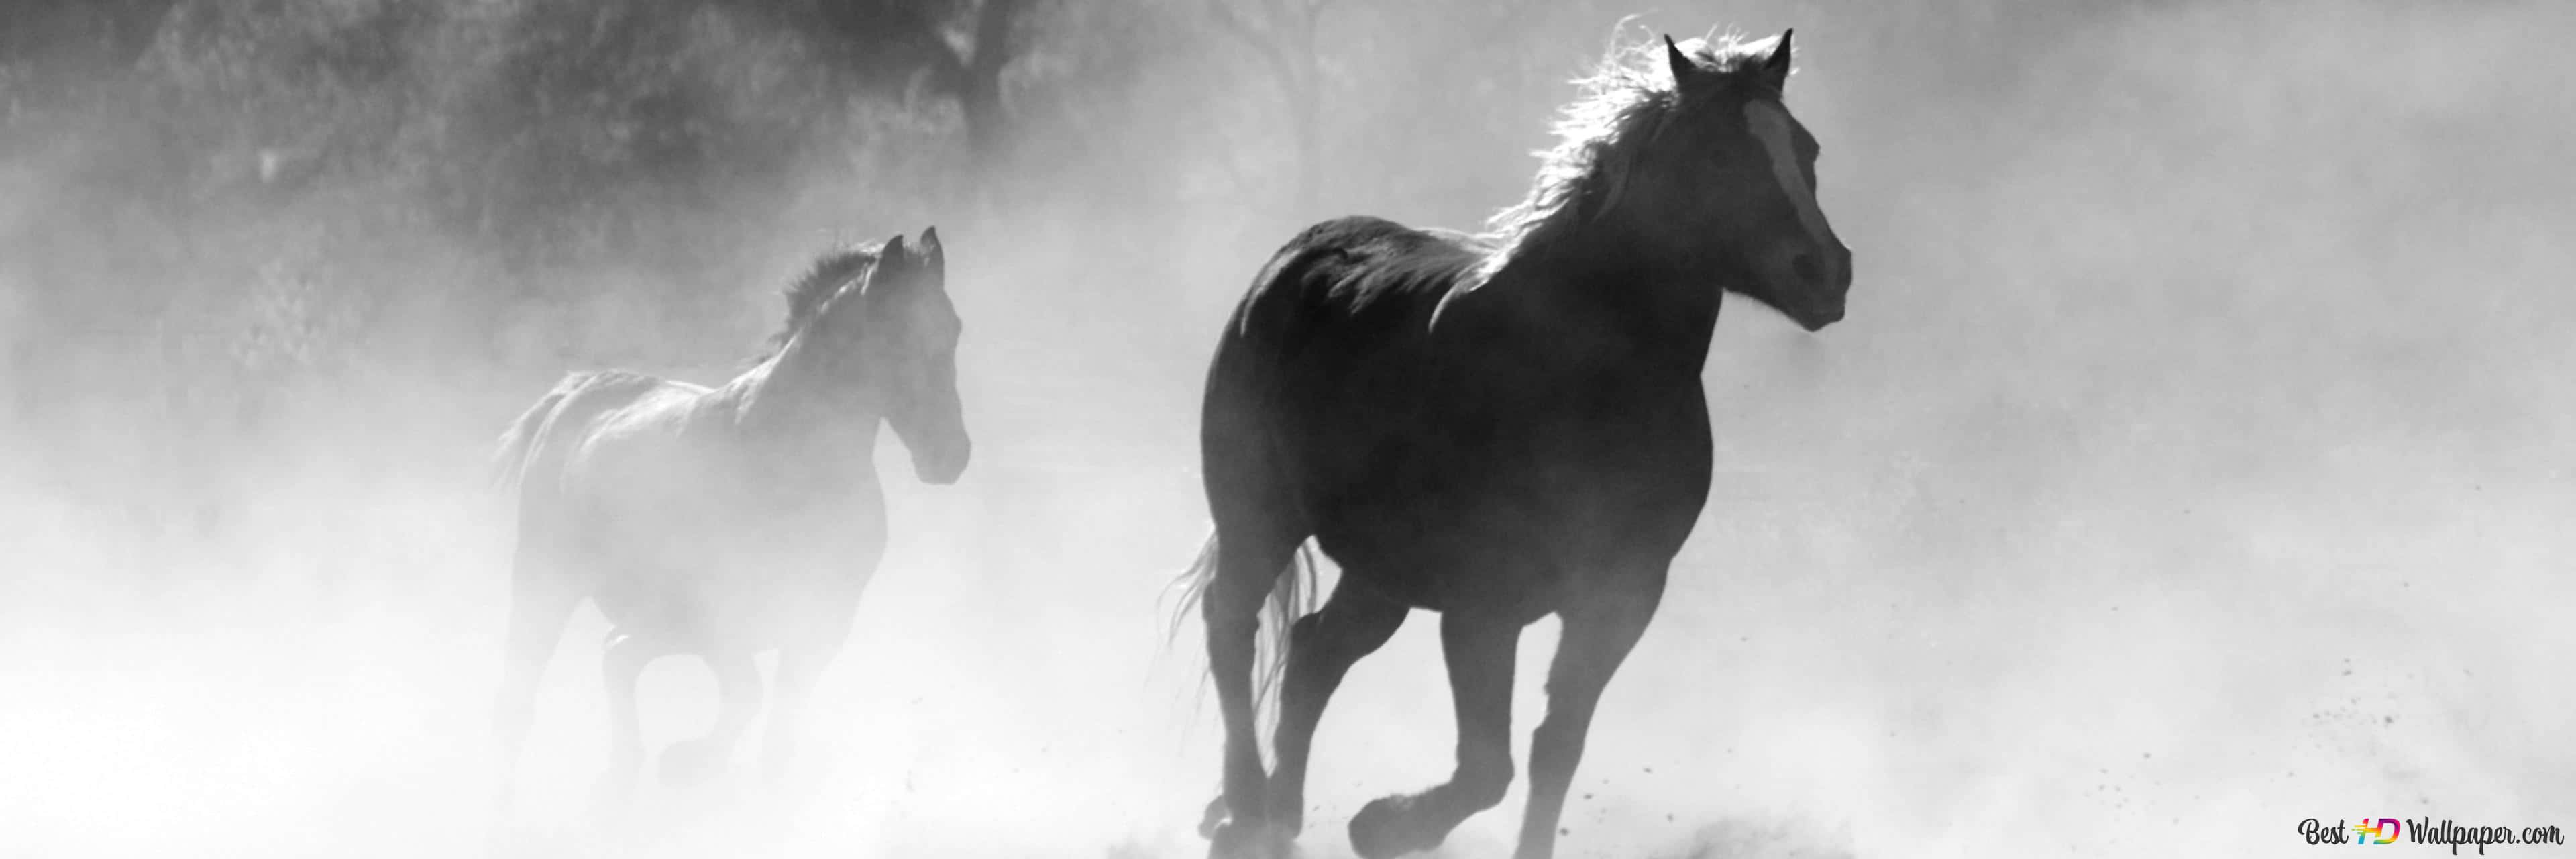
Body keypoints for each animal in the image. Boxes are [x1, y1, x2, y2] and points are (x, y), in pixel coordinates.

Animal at [488, 229, 968, 808]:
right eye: (895, 333)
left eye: (953, 328)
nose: (950, 456)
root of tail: (575, 394)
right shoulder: (720, 618)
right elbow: (747, 696)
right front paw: (687, 764)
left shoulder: (821, 626)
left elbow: (778, 739)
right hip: (547, 582)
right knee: (523, 694)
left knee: (617, 657)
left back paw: (621, 778)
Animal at [1176, 29, 1853, 859]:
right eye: (1721, 153)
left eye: (1806, 148)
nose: (1826, 272)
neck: (1583, 378)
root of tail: (1295, 258)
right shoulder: (1483, 606)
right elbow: (1485, 767)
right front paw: (1383, 823)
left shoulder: (1620, 597)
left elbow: (1553, 750)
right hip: (1260, 515)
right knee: (1232, 622)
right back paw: (1244, 807)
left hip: (1380, 571)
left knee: (1310, 655)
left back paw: (1279, 817)